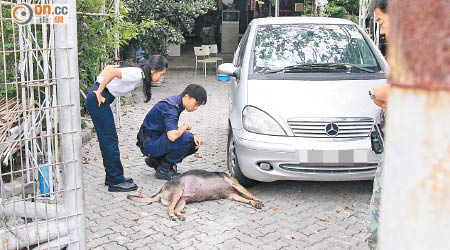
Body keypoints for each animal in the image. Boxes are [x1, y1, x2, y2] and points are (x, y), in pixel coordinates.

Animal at [126, 170, 264, 221]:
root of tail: (161, 189)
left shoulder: (232, 196)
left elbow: (246, 199)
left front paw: (254, 203)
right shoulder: (236, 185)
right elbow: (250, 194)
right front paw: (257, 199)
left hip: (182, 201)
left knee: (175, 209)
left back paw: (180, 215)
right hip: (178, 192)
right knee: (169, 209)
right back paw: (172, 216)